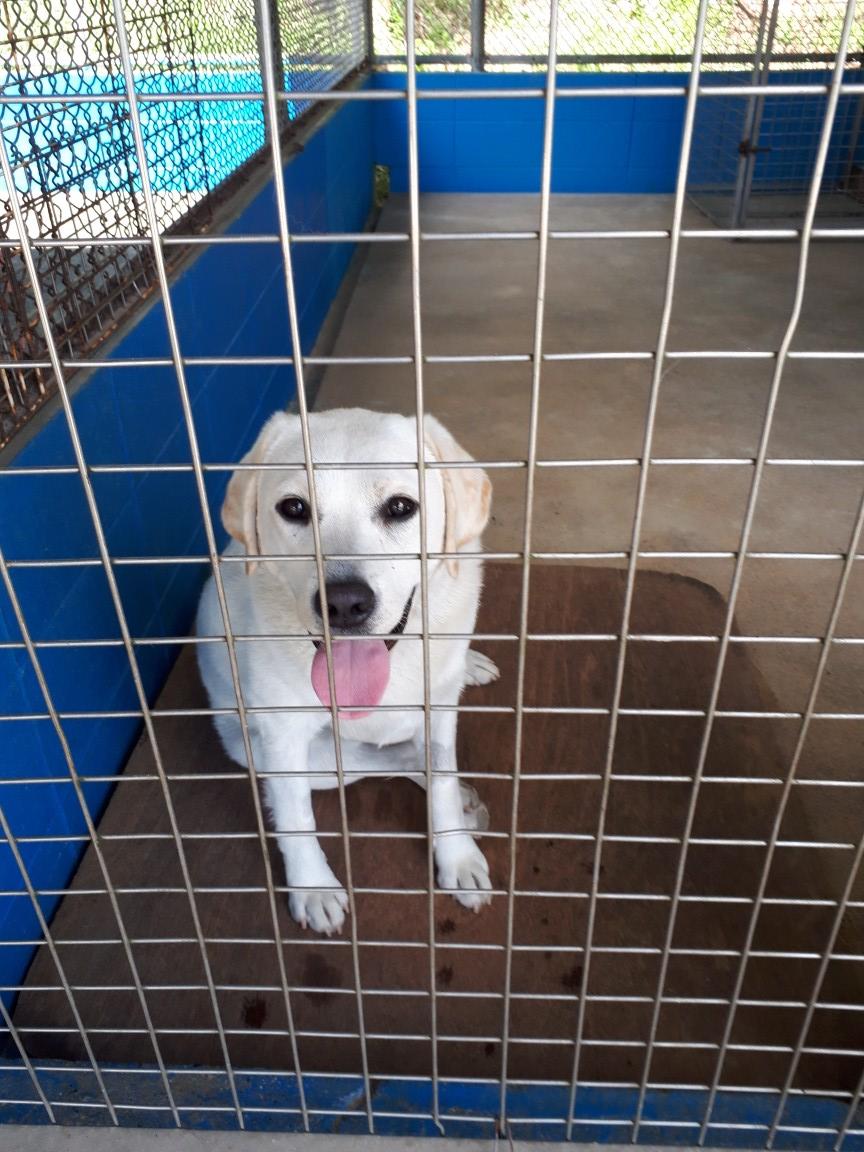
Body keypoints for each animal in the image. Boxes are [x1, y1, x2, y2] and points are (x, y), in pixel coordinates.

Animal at [196, 408, 499, 935]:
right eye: (294, 508)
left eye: (400, 507)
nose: (344, 603)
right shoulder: (284, 739)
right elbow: (296, 820)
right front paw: (313, 887)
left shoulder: (439, 710)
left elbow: (440, 780)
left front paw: (456, 856)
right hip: (288, 757)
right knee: (382, 761)